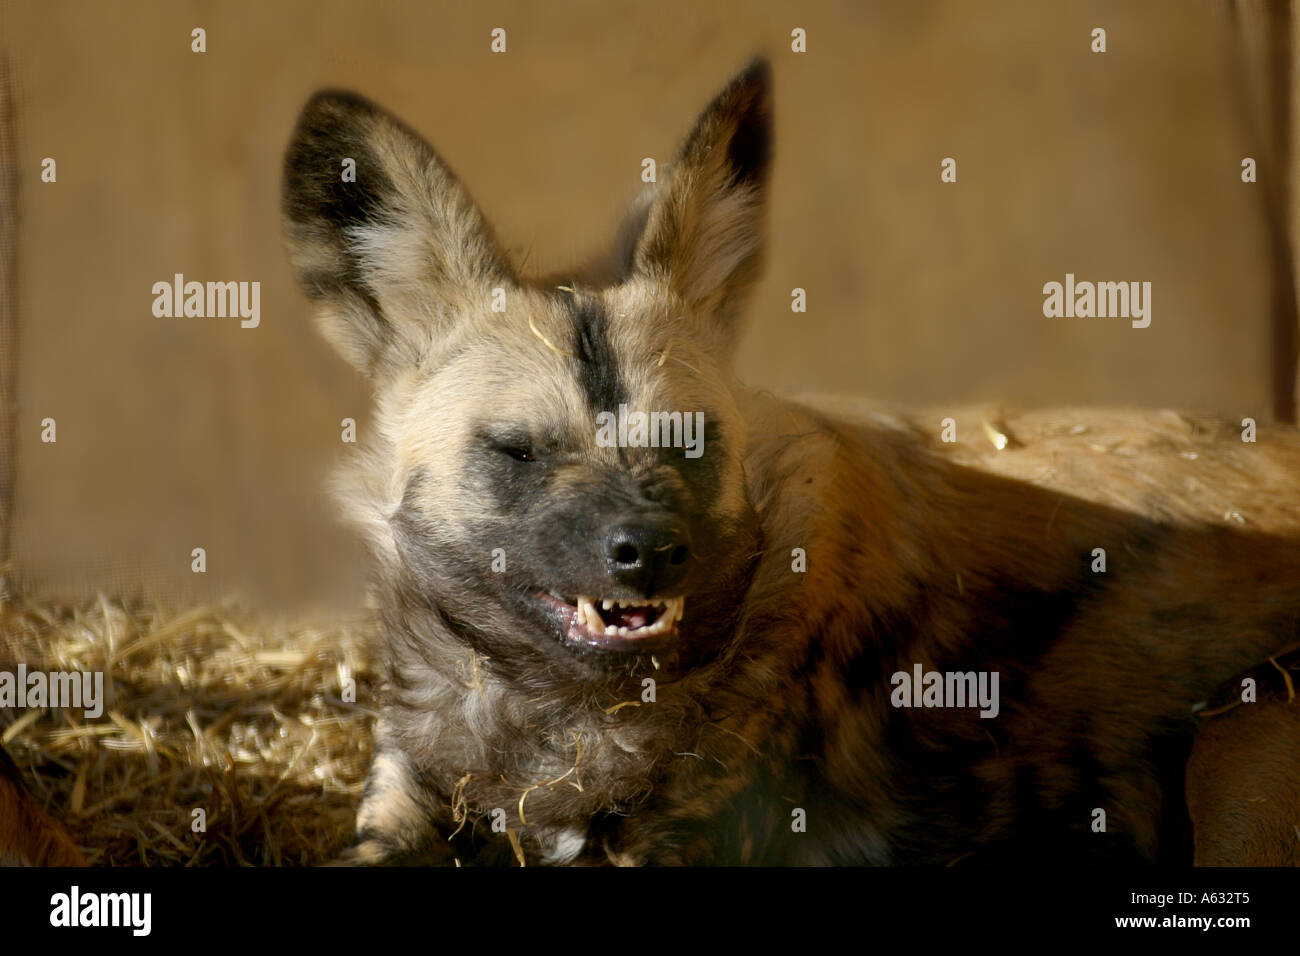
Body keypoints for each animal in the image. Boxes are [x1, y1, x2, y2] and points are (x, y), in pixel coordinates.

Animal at [282, 59, 1300, 868]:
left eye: (689, 442)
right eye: (521, 450)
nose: (647, 550)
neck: (553, 712)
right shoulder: (406, 797)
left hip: (1242, 734)